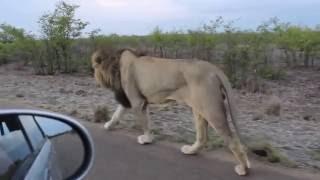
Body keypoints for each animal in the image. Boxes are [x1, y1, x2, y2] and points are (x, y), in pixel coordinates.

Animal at [90, 48, 250, 175]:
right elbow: (117, 114)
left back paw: (243, 168)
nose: (94, 78)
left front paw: (146, 139)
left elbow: (144, 123)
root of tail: (213, 68)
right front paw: (108, 125)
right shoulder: (129, 100)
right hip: (199, 108)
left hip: (211, 109)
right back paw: (190, 150)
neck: (115, 65)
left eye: (95, 68)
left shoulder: (137, 101)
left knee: (232, 140)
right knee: (203, 137)